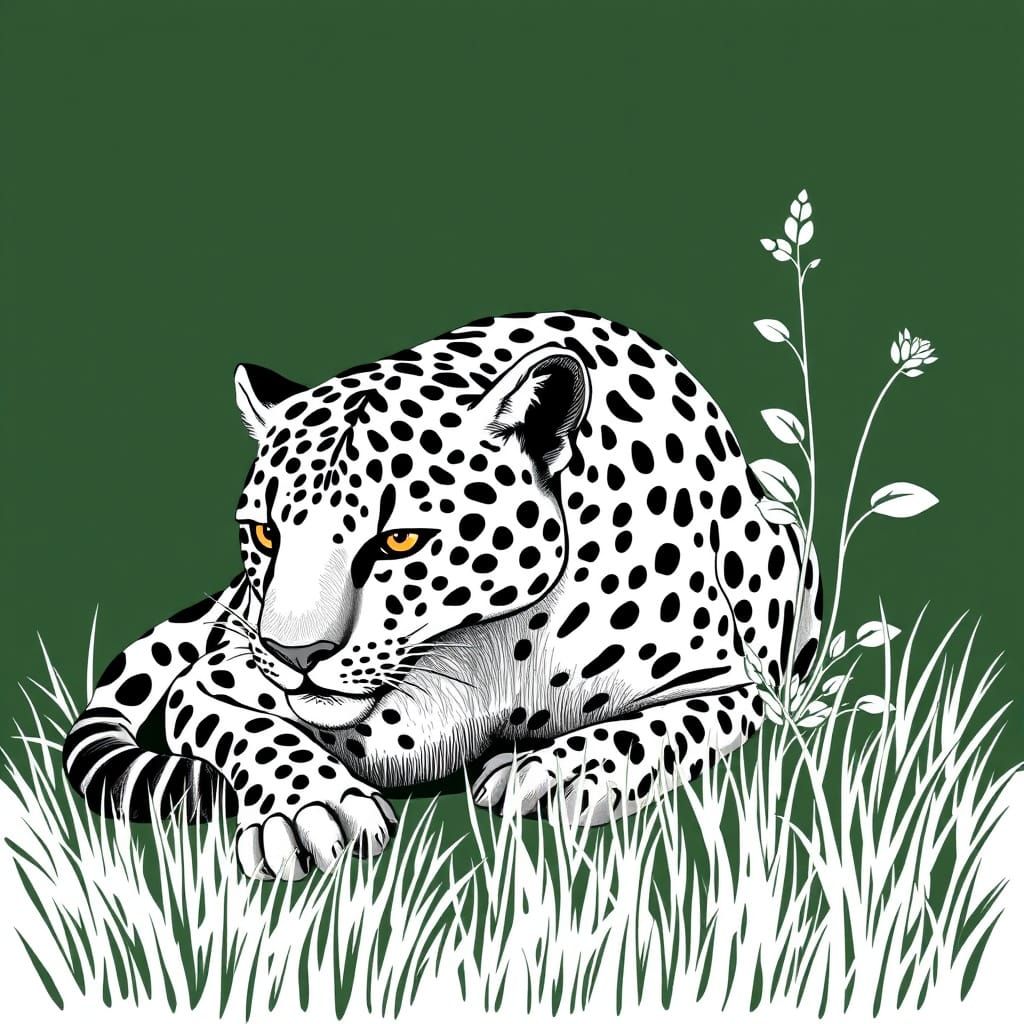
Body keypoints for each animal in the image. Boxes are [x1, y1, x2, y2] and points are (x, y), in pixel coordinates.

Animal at [62, 310, 822, 879]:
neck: (505, 644)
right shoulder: (217, 678)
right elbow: (253, 729)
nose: (292, 653)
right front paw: (312, 810)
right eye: (265, 534)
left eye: (397, 542)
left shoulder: (741, 685)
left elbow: (667, 726)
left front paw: (559, 771)